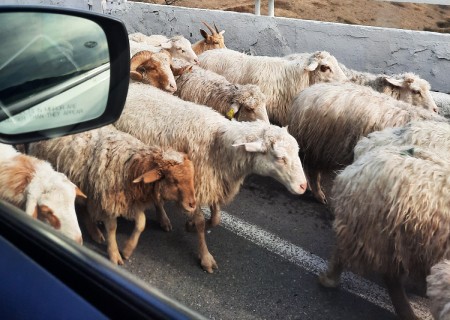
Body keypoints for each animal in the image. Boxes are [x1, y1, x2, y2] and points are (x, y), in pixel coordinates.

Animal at [27, 125, 197, 264]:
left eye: (192, 178)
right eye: (173, 180)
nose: (193, 205)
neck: (131, 167)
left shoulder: (129, 202)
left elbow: (141, 223)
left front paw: (127, 250)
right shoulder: (107, 200)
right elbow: (112, 228)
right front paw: (114, 254)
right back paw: (95, 232)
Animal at [113, 82, 310, 272]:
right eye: (280, 158)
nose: (303, 186)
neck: (217, 142)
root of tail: (134, 85)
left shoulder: (216, 181)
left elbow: (216, 219)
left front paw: (190, 226)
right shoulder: (196, 185)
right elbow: (201, 223)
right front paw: (205, 257)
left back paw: (163, 219)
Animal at [286, 81, 444, 204]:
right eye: (416, 91)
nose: (436, 109)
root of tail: (305, 93)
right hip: (318, 145)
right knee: (312, 170)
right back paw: (319, 195)